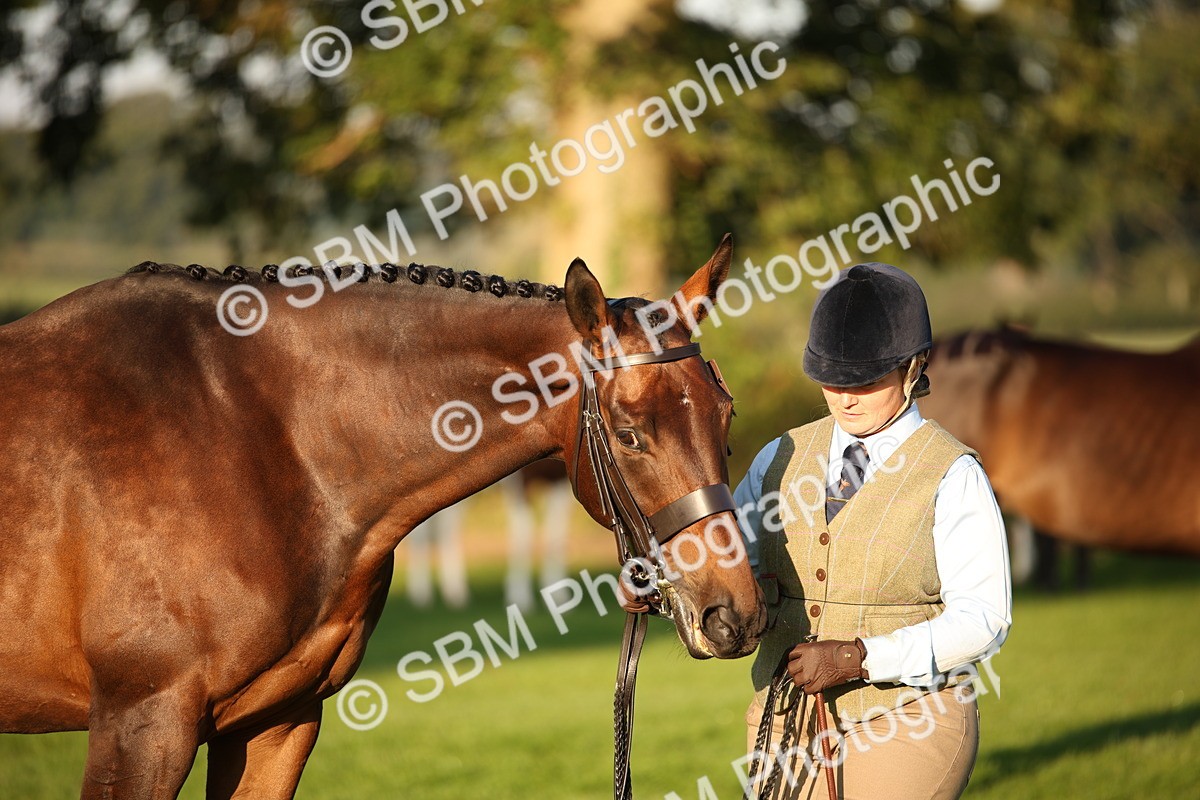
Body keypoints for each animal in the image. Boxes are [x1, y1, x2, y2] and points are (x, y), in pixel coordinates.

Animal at [0, 236, 766, 799]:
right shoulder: (142, 723)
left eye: (726, 418)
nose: (736, 615)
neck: (255, 434)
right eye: (630, 435)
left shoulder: (276, 721)